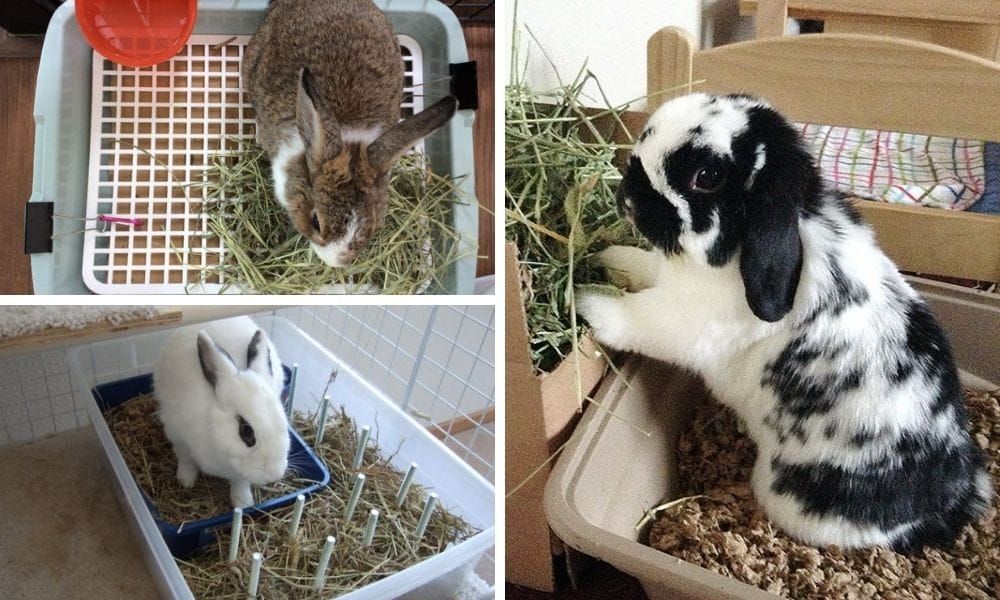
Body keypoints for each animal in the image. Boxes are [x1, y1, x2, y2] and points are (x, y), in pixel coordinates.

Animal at [153, 316, 289, 508]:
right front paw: (185, 481)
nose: (273, 476)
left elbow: (240, 483)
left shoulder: (241, 473)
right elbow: (186, 460)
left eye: (284, 423)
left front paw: (243, 504)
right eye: (246, 431)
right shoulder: (178, 437)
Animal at [576, 93, 993, 552]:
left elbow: (637, 317)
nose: (626, 199)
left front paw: (586, 301)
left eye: (707, 176)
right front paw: (606, 259)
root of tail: (945, 502)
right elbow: (643, 266)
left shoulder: (685, 320)